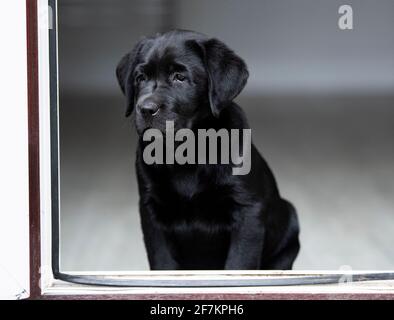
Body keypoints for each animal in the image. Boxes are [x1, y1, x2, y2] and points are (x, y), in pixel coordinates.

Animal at [115, 30, 300, 270]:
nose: (145, 109)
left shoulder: (247, 211)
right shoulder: (150, 211)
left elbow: (239, 263)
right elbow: (162, 263)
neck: (186, 152)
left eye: (180, 77)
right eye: (140, 78)